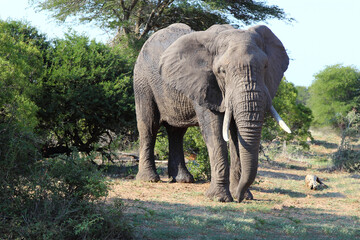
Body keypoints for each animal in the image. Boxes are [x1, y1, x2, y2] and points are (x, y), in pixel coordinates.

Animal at [134, 23, 290, 202]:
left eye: (265, 66)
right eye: (222, 71)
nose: (239, 197)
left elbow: (236, 136)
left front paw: (243, 196)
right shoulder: (205, 84)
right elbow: (215, 132)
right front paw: (219, 198)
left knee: (177, 132)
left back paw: (183, 179)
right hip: (142, 80)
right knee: (149, 125)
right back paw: (149, 179)